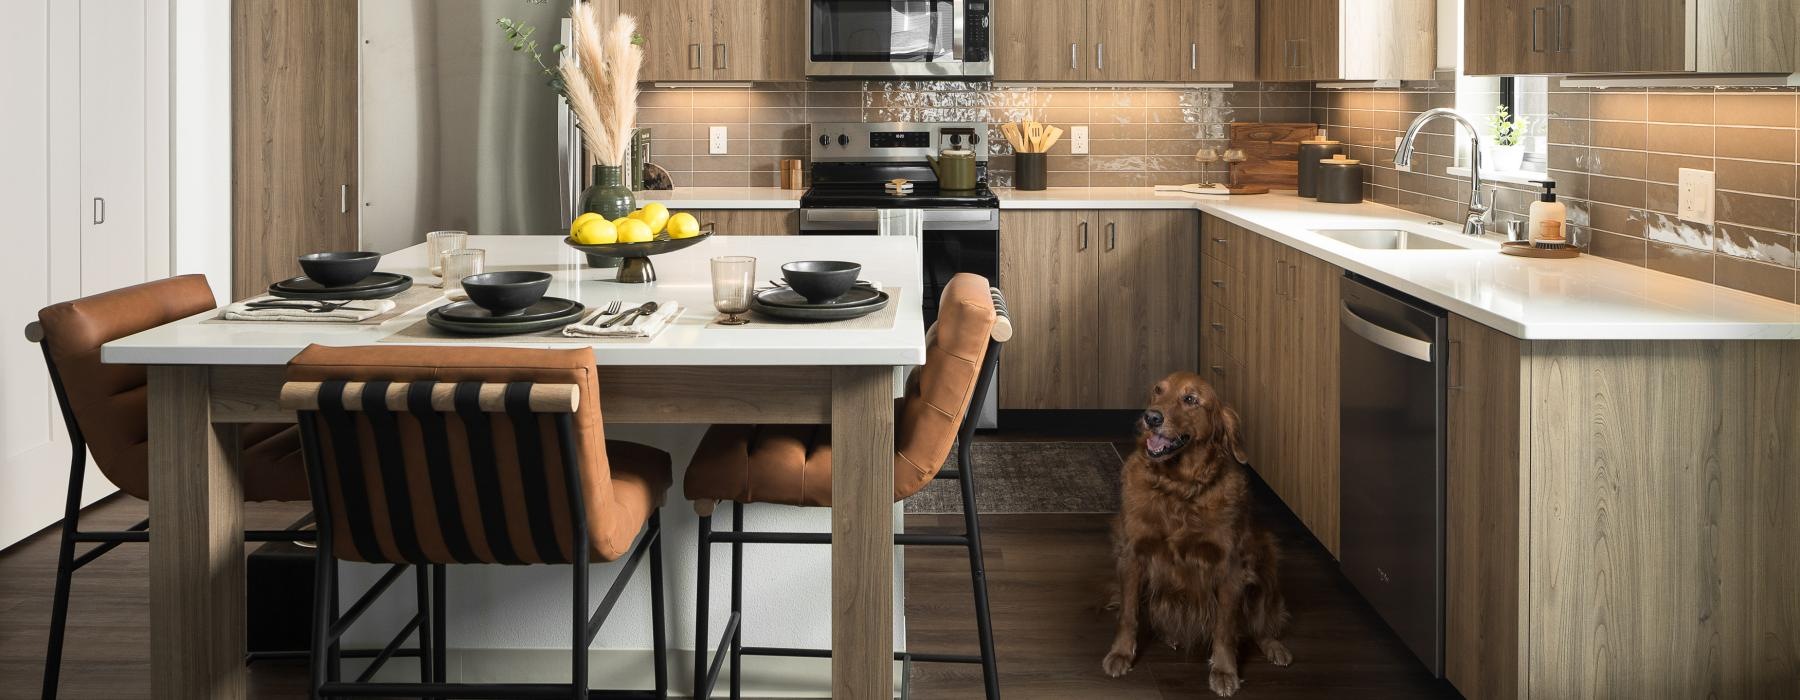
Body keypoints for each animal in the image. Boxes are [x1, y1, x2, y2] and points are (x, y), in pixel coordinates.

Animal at [1094, 370, 1296, 691]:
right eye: (1157, 390)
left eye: (1190, 399)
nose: (1151, 417)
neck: (1178, 488)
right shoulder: (1132, 554)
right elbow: (1128, 613)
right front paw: (1121, 654)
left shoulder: (1230, 566)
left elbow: (1225, 628)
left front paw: (1225, 671)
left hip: (1266, 555)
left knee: (1261, 622)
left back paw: (1275, 646)